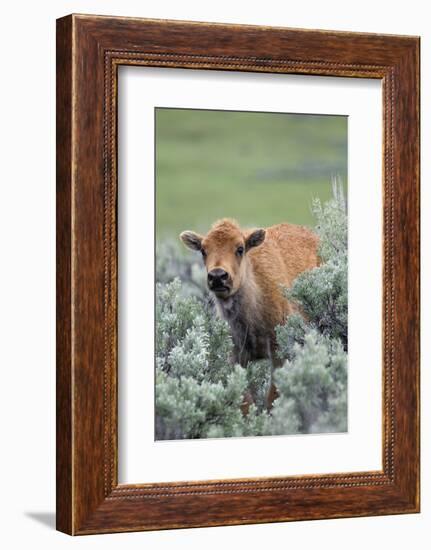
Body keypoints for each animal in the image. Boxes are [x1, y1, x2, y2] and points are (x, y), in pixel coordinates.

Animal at [180, 220, 320, 410]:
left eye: (240, 248)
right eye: (203, 250)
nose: (217, 276)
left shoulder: (279, 353)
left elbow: (272, 398)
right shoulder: (235, 357)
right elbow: (245, 401)